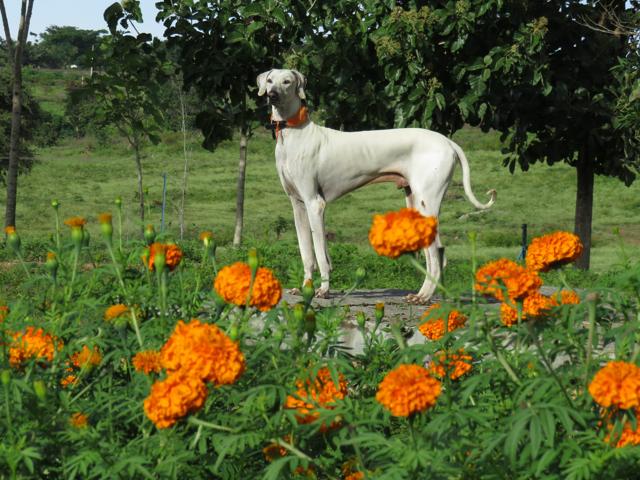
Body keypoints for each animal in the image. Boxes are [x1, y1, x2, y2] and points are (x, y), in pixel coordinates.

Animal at [256, 68, 496, 304]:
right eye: (269, 80)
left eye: (287, 82)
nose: (272, 95)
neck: (293, 133)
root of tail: (448, 141)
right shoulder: (298, 205)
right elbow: (307, 253)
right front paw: (305, 287)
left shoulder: (314, 204)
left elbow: (320, 253)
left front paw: (323, 290)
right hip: (414, 203)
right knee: (433, 254)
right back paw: (422, 294)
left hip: (426, 202)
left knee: (436, 252)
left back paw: (424, 297)